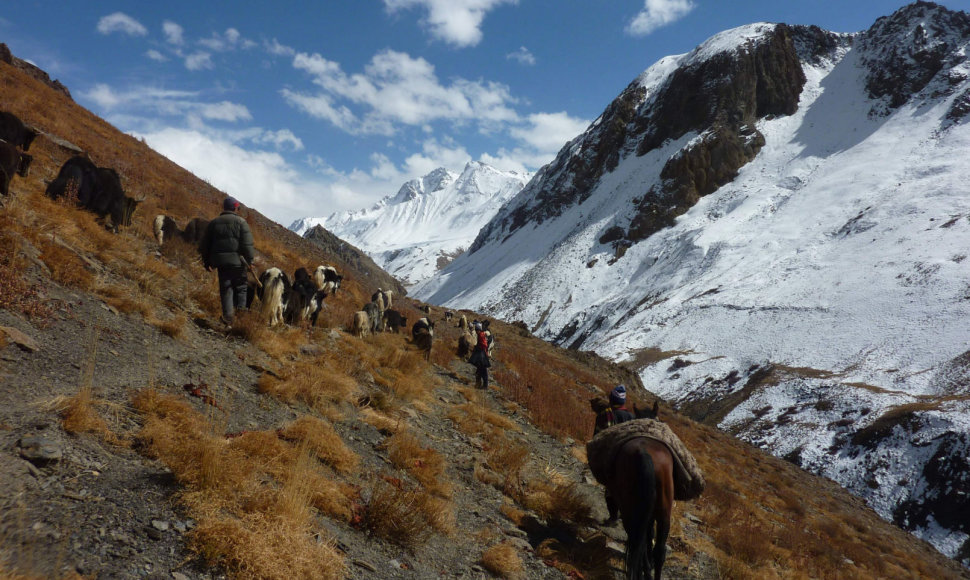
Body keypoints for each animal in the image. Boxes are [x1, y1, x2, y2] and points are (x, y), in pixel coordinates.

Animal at [588, 402, 672, 580]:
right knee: (659, 549)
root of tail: (644, 453)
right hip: (664, 509)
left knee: (636, 537)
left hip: (628, 506)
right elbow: (650, 536)